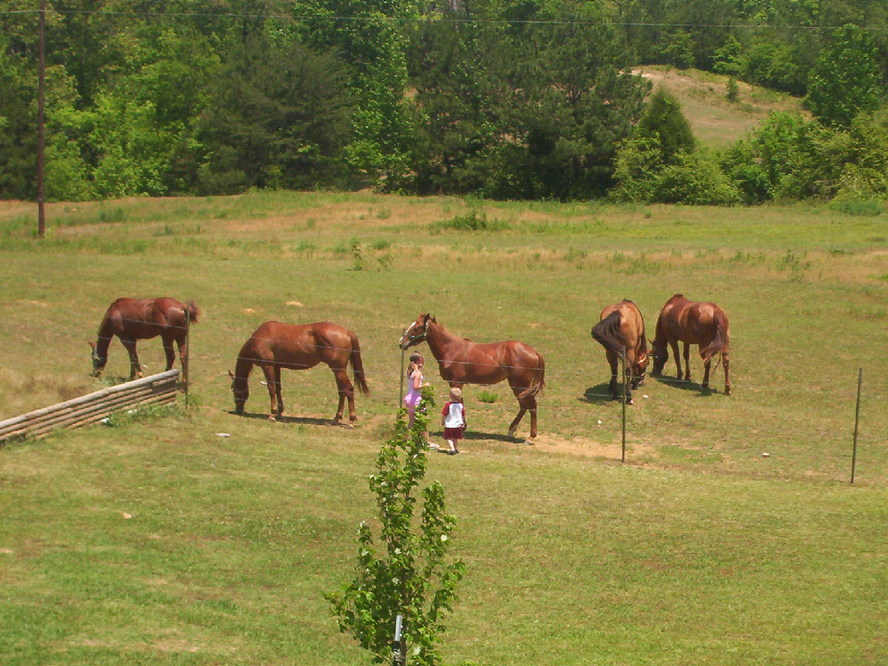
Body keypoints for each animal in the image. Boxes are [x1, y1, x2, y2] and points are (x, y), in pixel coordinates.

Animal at [231, 320, 370, 422]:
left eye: (234, 390)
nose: (238, 409)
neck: (261, 336)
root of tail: (346, 332)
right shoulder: (277, 366)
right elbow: (278, 388)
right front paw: (280, 411)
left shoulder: (268, 366)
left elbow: (271, 388)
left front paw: (272, 414)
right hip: (338, 370)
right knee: (342, 391)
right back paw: (337, 417)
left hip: (339, 370)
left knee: (349, 389)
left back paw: (351, 420)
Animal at [398, 312, 544, 438]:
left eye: (416, 327)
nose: (401, 343)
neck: (451, 349)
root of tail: (535, 352)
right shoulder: (457, 383)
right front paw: (463, 426)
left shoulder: (456, 382)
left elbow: (458, 402)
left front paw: (461, 426)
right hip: (516, 384)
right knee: (524, 405)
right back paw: (512, 430)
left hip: (521, 384)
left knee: (531, 405)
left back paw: (531, 436)